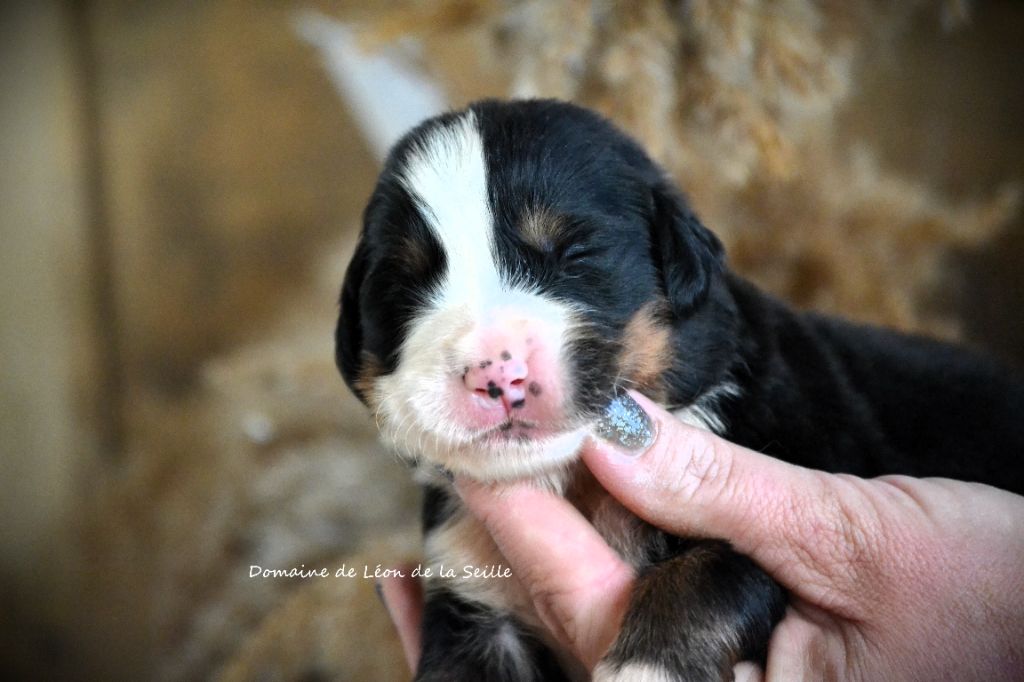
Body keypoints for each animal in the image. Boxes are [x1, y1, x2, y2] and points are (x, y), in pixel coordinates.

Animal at [335, 98, 1024, 675]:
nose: (494, 373)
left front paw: (645, 667)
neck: (573, 485)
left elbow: (704, 572)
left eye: (573, 255)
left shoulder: (779, 513)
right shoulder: (473, 597)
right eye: (403, 286)